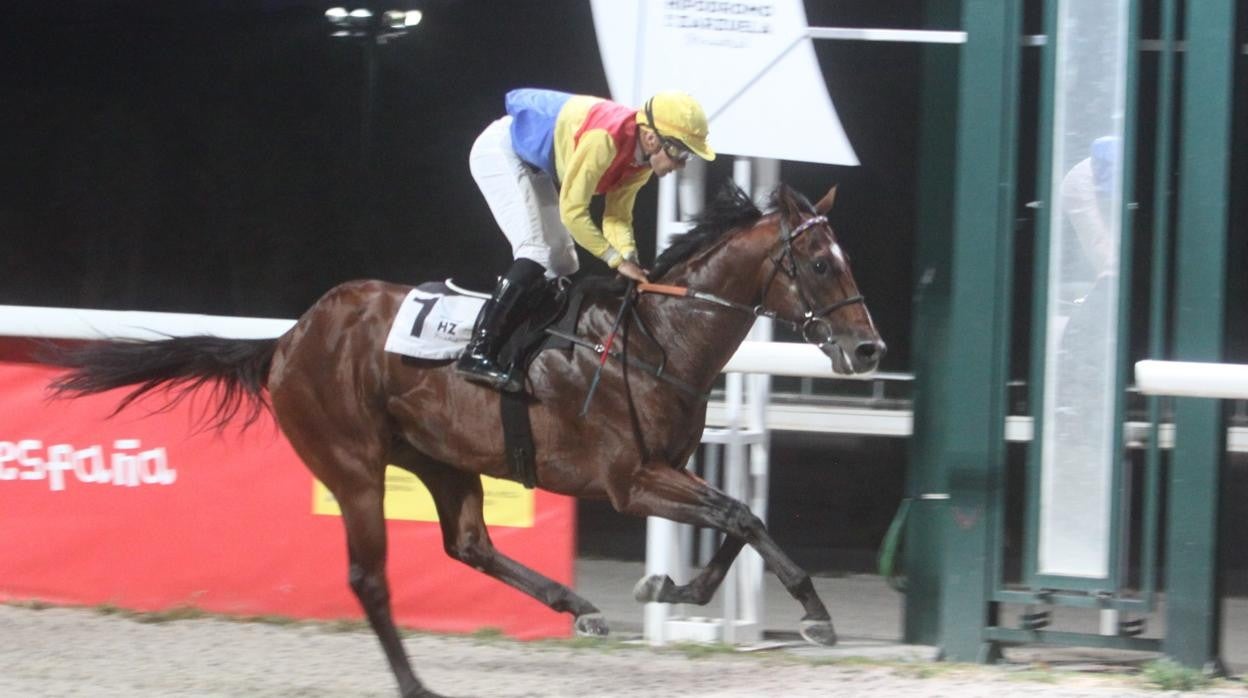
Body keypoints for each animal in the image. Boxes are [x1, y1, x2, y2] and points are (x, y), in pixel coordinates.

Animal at [51, 184, 888, 698]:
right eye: (820, 262)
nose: (869, 349)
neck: (655, 339)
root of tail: (289, 339)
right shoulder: (630, 479)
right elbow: (741, 516)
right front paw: (813, 611)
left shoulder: (666, 470)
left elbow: (737, 518)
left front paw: (671, 588)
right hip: (353, 465)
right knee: (371, 579)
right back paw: (416, 682)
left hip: (441, 459)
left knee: (469, 544)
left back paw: (577, 605)